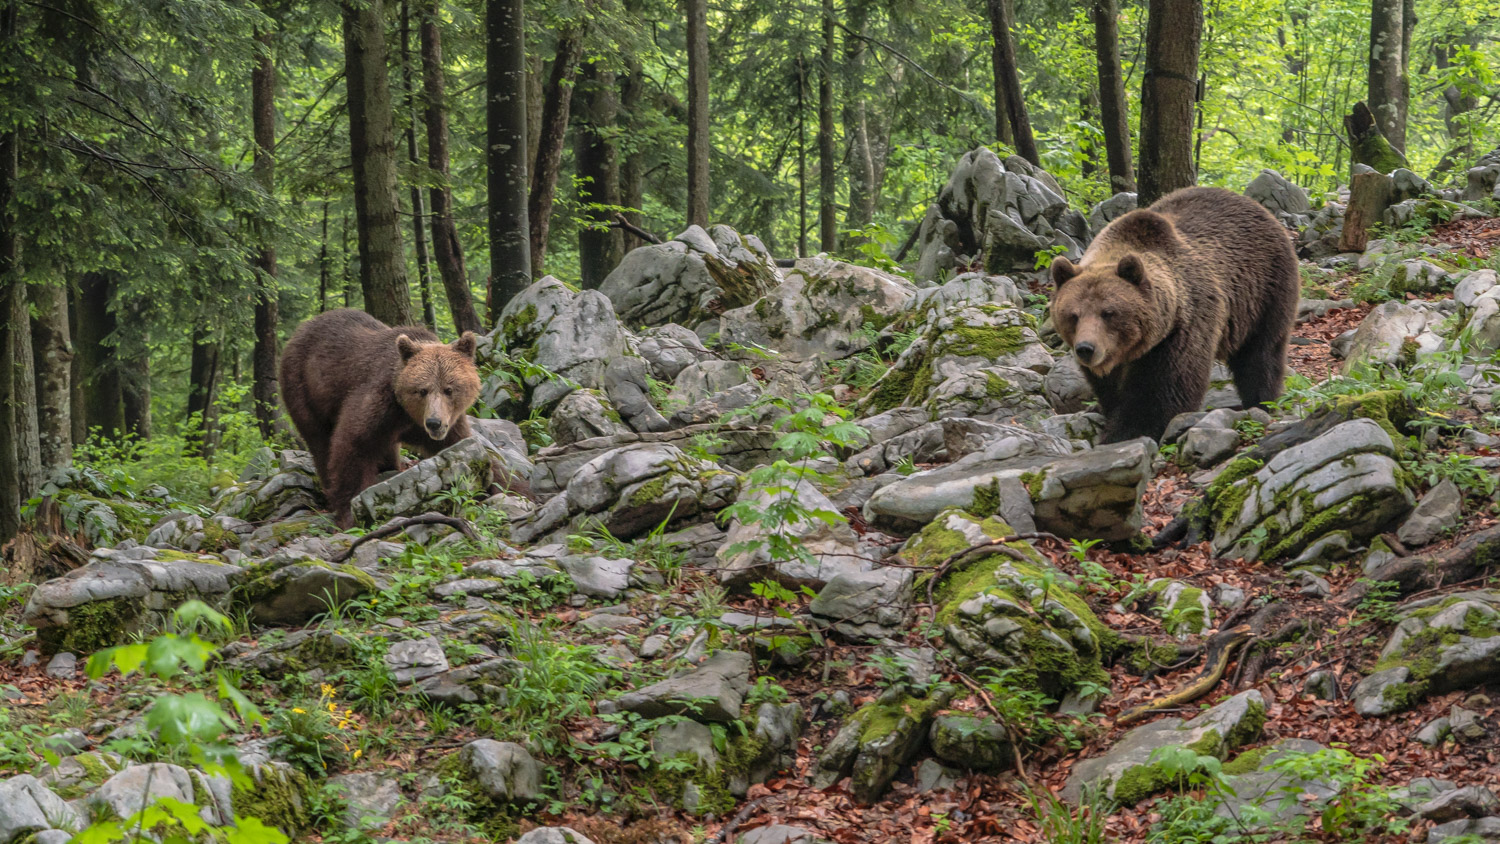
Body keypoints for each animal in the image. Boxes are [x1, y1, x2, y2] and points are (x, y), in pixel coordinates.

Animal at [276, 310, 474, 527]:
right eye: (422, 390)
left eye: (449, 389)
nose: (434, 423)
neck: (407, 412)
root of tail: (301, 329)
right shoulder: (377, 402)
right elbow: (352, 445)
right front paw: (348, 513)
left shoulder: (447, 422)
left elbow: (458, 443)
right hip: (304, 388)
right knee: (319, 441)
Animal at [1044, 187, 1302, 446]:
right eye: (1073, 315)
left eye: (1108, 313)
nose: (1086, 348)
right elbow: (1109, 389)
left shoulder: (1181, 329)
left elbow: (1162, 391)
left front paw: (1124, 432)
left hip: (1264, 290)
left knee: (1260, 353)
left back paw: (1261, 401)